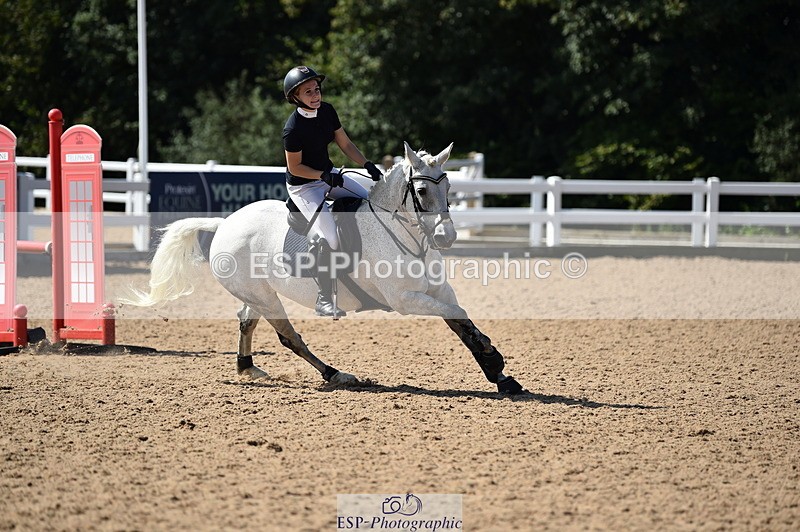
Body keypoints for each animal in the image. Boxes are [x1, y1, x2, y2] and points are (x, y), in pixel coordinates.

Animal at [121, 142, 524, 394]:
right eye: (422, 192)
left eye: (450, 187)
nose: (446, 237)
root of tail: (223, 224)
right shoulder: (406, 300)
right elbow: (458, 315)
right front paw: (494, 360)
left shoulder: (436, 291)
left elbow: (460, 320)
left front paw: (500, 375)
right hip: (266, 297)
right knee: (289, 337)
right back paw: (335, 374)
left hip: (257, 291)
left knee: (247, 321)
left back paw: (247, 366)